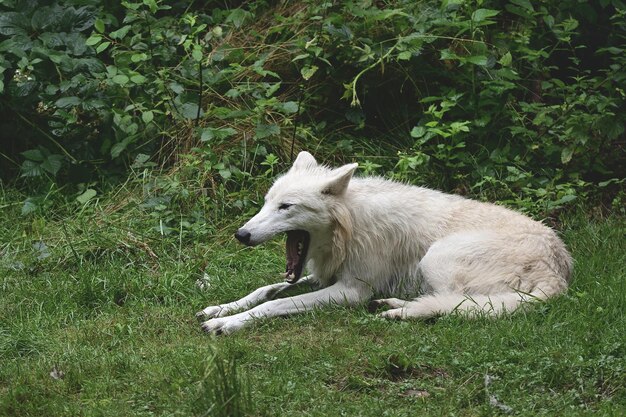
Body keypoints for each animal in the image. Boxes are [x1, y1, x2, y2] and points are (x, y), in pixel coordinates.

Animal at [197, 151, 572, 334]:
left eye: (286, 207)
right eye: (266, 203)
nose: (241, 234)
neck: (350, 224)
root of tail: (558, 268)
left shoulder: (351, 291)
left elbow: (275, 304)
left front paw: (228, 324)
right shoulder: (323, 275)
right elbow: (266, 289)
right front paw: (222, 308)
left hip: (435, 258)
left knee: (452, 304)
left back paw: (395, 312)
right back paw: (390, 305)